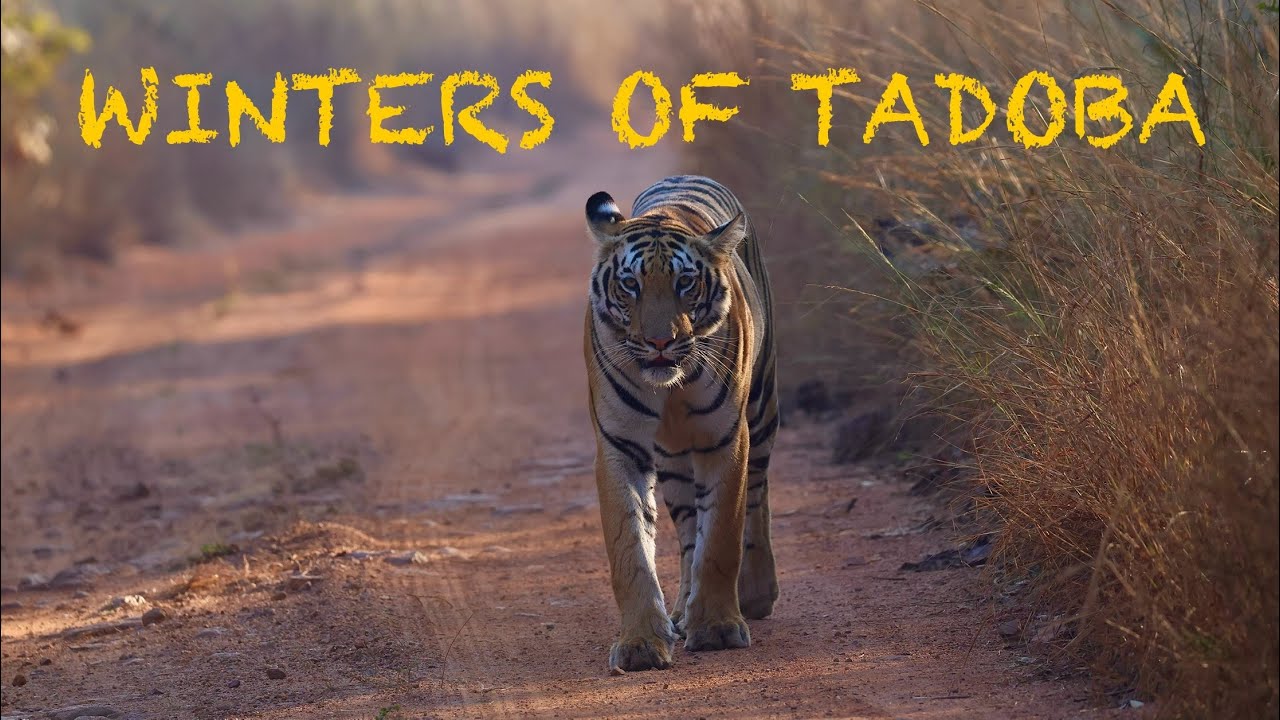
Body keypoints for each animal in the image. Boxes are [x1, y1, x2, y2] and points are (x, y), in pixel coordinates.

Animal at [582, 175, 779, 673]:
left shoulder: (725, 438)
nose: (659, 343)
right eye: (630, 284)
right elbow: (630, 547)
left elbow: (722, 536)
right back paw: (683, 611)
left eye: (685, 283)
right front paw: (640, 644)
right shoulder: (620, 444)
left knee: (757, 497)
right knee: (689, 529)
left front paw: (717, 629)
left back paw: (755, 595)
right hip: (672, 459)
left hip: (762, 410)